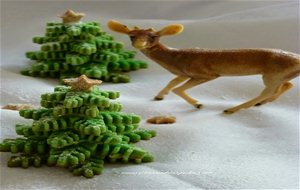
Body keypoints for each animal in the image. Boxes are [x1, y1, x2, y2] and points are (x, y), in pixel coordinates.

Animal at [108, 20, 300, 113]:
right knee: (286, 85)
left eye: (153, 36)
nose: (140, 44)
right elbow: (172, 83)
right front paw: (159, 96)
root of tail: (297, 59)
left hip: (272, 74)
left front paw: (198, 104)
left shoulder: (205, 73)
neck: (175, 57)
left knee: (269, 90)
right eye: (132, 35)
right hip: (279, 74)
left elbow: (177, 89)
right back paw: (262, 103)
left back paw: (233, 109)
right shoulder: (183, 72)